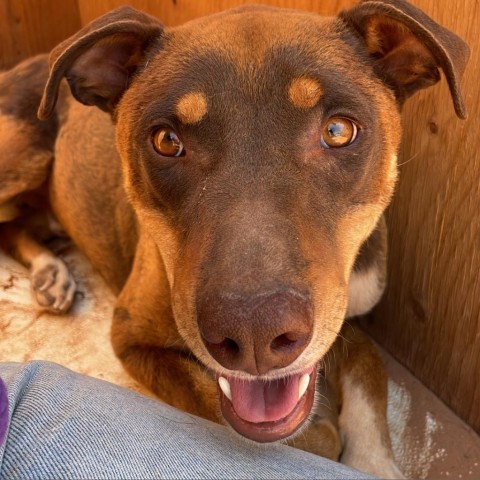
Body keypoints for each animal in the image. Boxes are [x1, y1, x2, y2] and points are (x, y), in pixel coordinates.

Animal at [0, 1, 466, 478]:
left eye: (338, 131)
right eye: (166, 140)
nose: (255, 333)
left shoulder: (350, 309)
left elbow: (370, 362)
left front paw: (375, 457)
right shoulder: (135, 338)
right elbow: (302, 434)